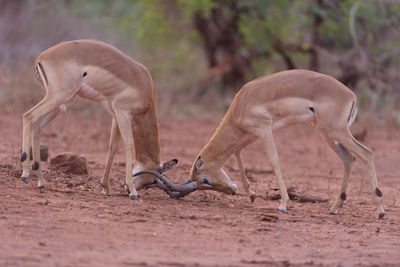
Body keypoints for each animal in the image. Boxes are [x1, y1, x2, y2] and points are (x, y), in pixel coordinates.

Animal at [20, 39, 195, 199]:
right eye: (153, 180)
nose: (127, 189)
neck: (144, 85)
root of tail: (41, 57)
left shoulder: (115, 116)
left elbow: (113, 146)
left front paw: (105, 187)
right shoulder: (123, 112)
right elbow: (129, 145)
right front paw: (133, 192)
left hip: (63, 102)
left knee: (37, 126)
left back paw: (41, 181)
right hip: (59, 96)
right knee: (28, 116)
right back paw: (25, 174)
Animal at [142, 69, 386, 220]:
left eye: (205, 180)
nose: (231, 192)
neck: (241, 101)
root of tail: (351, 95)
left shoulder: (264, 129)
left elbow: (273, 161)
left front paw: (283, 204)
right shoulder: (250, 134)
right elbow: (238, 154)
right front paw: (251, 194)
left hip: (335, 131)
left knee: (367, 152)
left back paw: (381, 211)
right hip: (326, 132)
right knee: (349, 158)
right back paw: (335, 208)